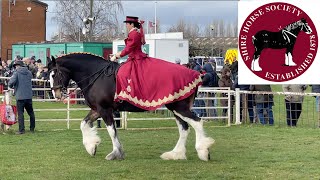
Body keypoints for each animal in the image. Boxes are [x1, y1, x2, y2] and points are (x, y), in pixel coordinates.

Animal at [47, 53, 214, 160]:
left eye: (54, 74)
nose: (56, 94)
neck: (96, 76)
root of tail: (196, 74)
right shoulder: (97, 109)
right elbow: (83, 124)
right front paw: (91, 146)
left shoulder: (105, 110)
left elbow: (112, 131)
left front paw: (116, 153)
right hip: (176, 110)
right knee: (184, 128)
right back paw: (176, 154)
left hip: (179, 108)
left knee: (197, 123)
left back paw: (203, 151)